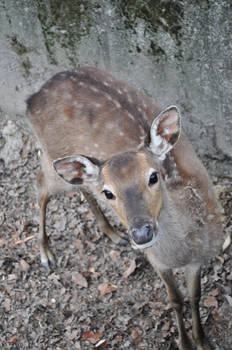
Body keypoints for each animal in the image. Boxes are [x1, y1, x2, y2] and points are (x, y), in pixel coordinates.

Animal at [25, 66, 227, 350]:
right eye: (110, 192)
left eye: (153, 176)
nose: (141, 234)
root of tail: (33, 97)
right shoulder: (156, 259)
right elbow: (175, 300)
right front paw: (185, 343)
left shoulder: (199, 258)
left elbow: (195, 295)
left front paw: (203, 341)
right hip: (53, 161)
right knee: (41, 183)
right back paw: (46, 254)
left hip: (75, 173)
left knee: (81, 187)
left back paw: (111, 232)